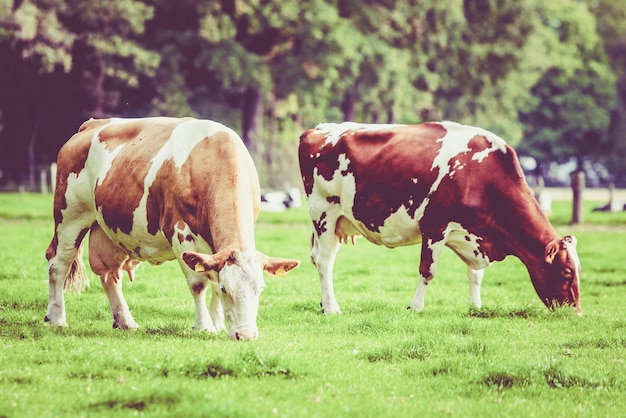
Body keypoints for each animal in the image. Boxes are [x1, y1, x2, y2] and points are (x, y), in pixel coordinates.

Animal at [45, 116, 300, 340]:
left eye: (261, 289)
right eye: (227, 289)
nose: (245, 335)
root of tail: (92, 124)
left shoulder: (215, 250)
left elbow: (212, 279)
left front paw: (217, 323)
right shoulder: (179, 231)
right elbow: (199, 283)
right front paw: (204, 326)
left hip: (109, 226)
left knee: (109, 274)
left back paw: (125, 321)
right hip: (70, 216)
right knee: (58, 263)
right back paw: (56, 318)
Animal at [298, 120, 580, 314]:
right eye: (566, 271)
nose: (576, 312)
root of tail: (318, 129)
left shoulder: (471, 233)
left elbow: (475, 275)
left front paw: (476, 306)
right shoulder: (435, 226)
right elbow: (427, 271)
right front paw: (416, 307)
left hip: (338, 222)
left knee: (320, 259)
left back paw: (324, 303)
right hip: (324, 213)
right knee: (324, 261)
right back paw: (332, 308)